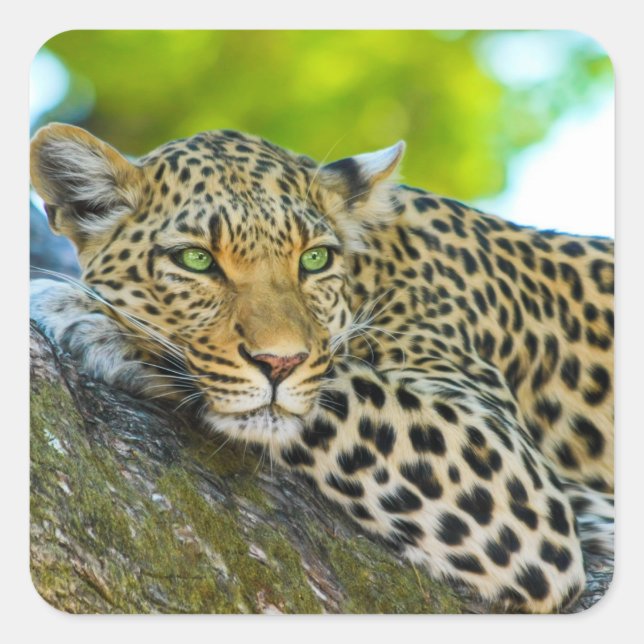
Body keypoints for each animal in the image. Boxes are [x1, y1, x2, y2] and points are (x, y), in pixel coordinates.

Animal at [29, 123, 614, 613]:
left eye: (314, 260)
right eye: (196, 260)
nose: (279, 362)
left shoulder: (515, 480)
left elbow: (335, 383)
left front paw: (90, 319)